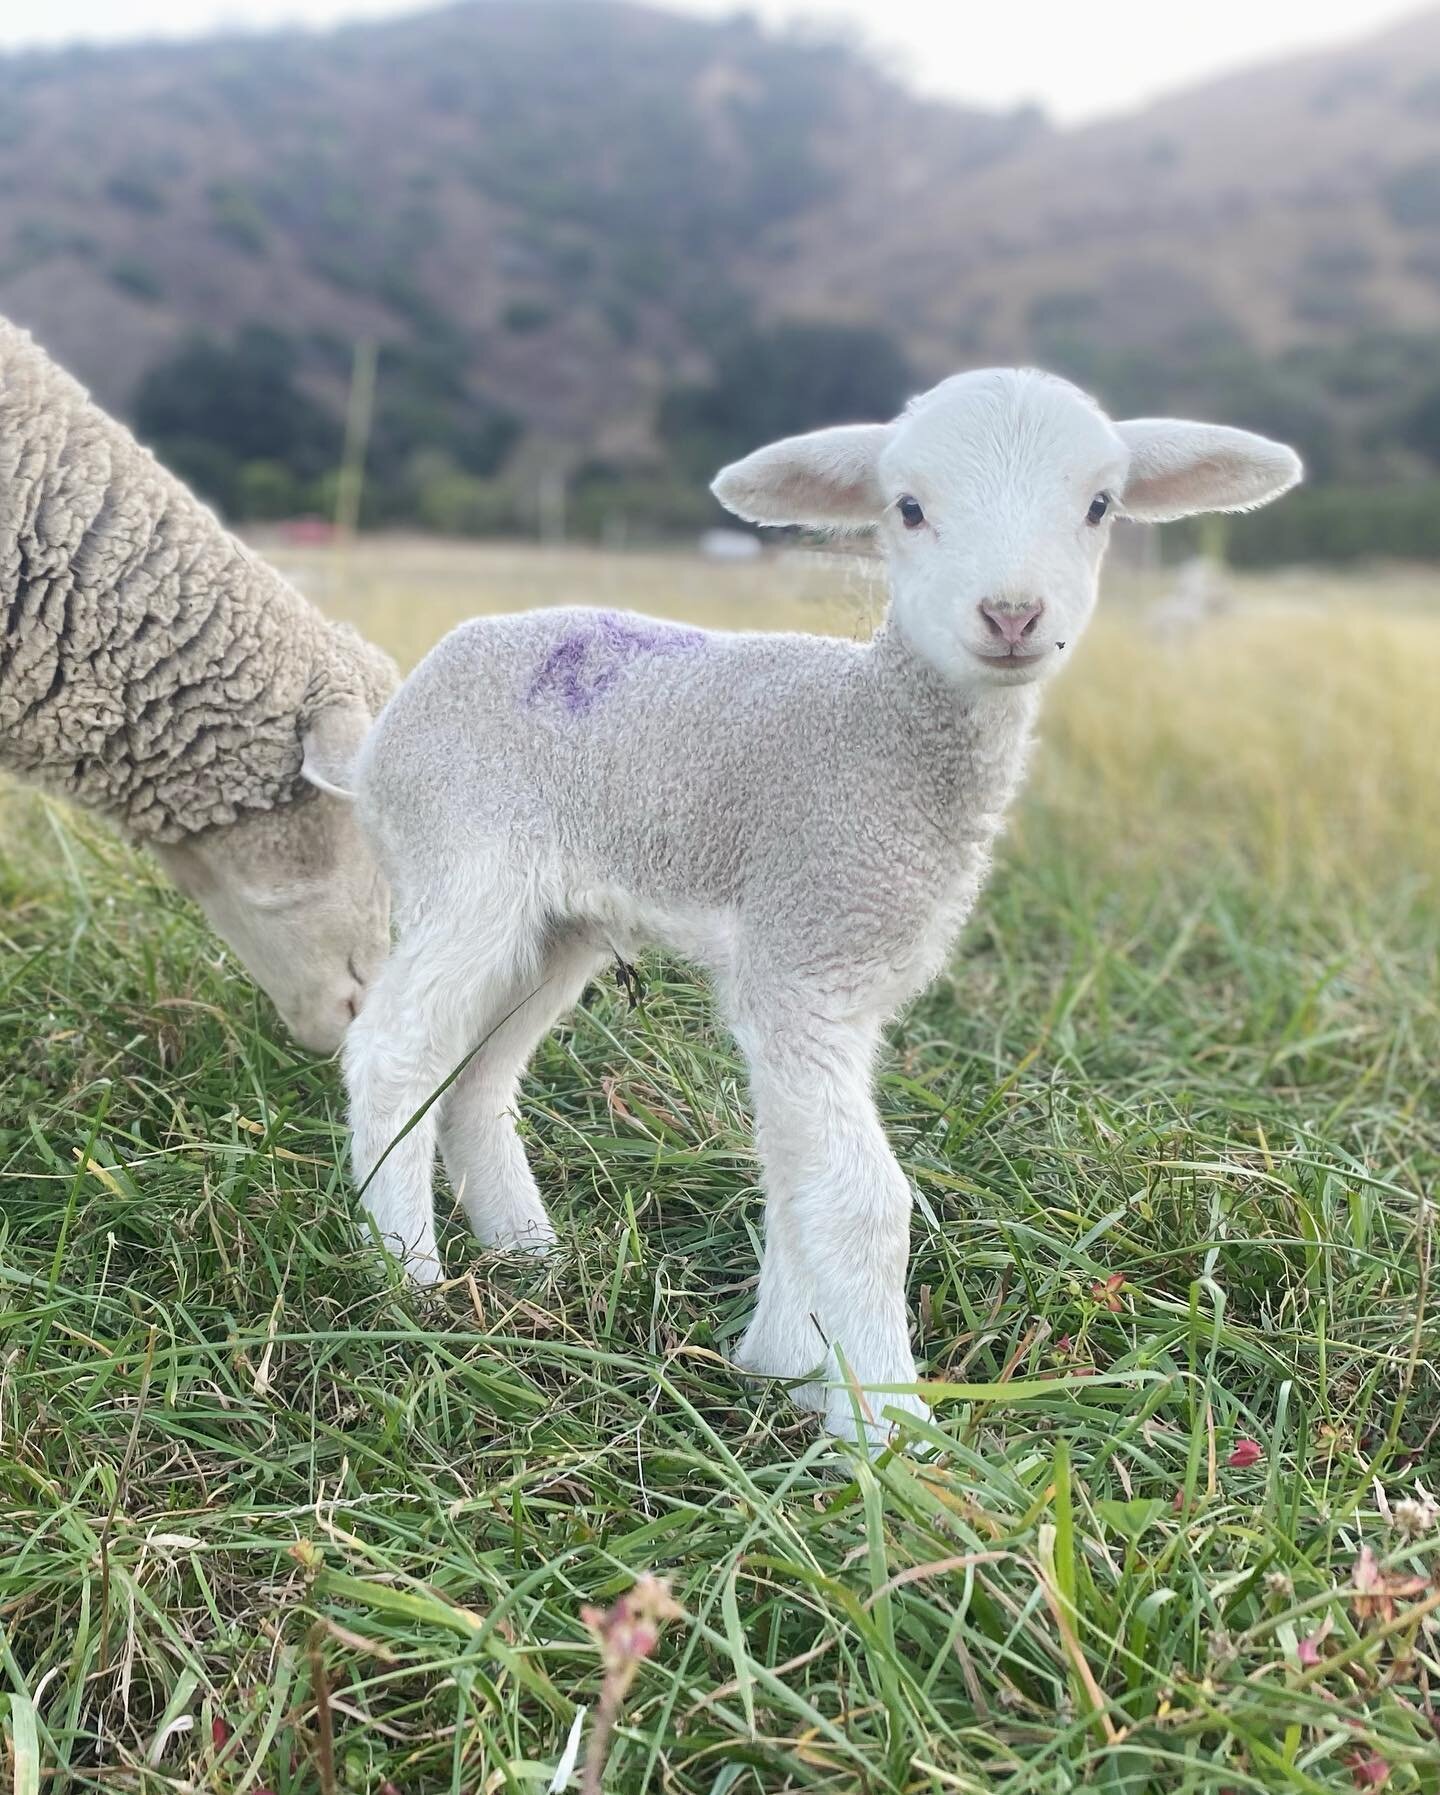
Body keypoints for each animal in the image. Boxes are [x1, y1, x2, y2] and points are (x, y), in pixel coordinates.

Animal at [339, 371, 1299, 1450]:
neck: (876, 732)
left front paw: (785, 1367)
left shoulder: (845, 979)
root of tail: (395, 711)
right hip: (460, 865)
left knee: (476, 1076)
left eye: (1099, 507)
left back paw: (525, 1255)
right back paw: (407, 1275)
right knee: (396, 1052)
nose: (1013, 613)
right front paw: (885, 1431)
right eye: (908, 507)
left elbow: (797, 1169)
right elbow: (859, 1197)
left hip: (557, 924)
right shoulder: (805, 953)